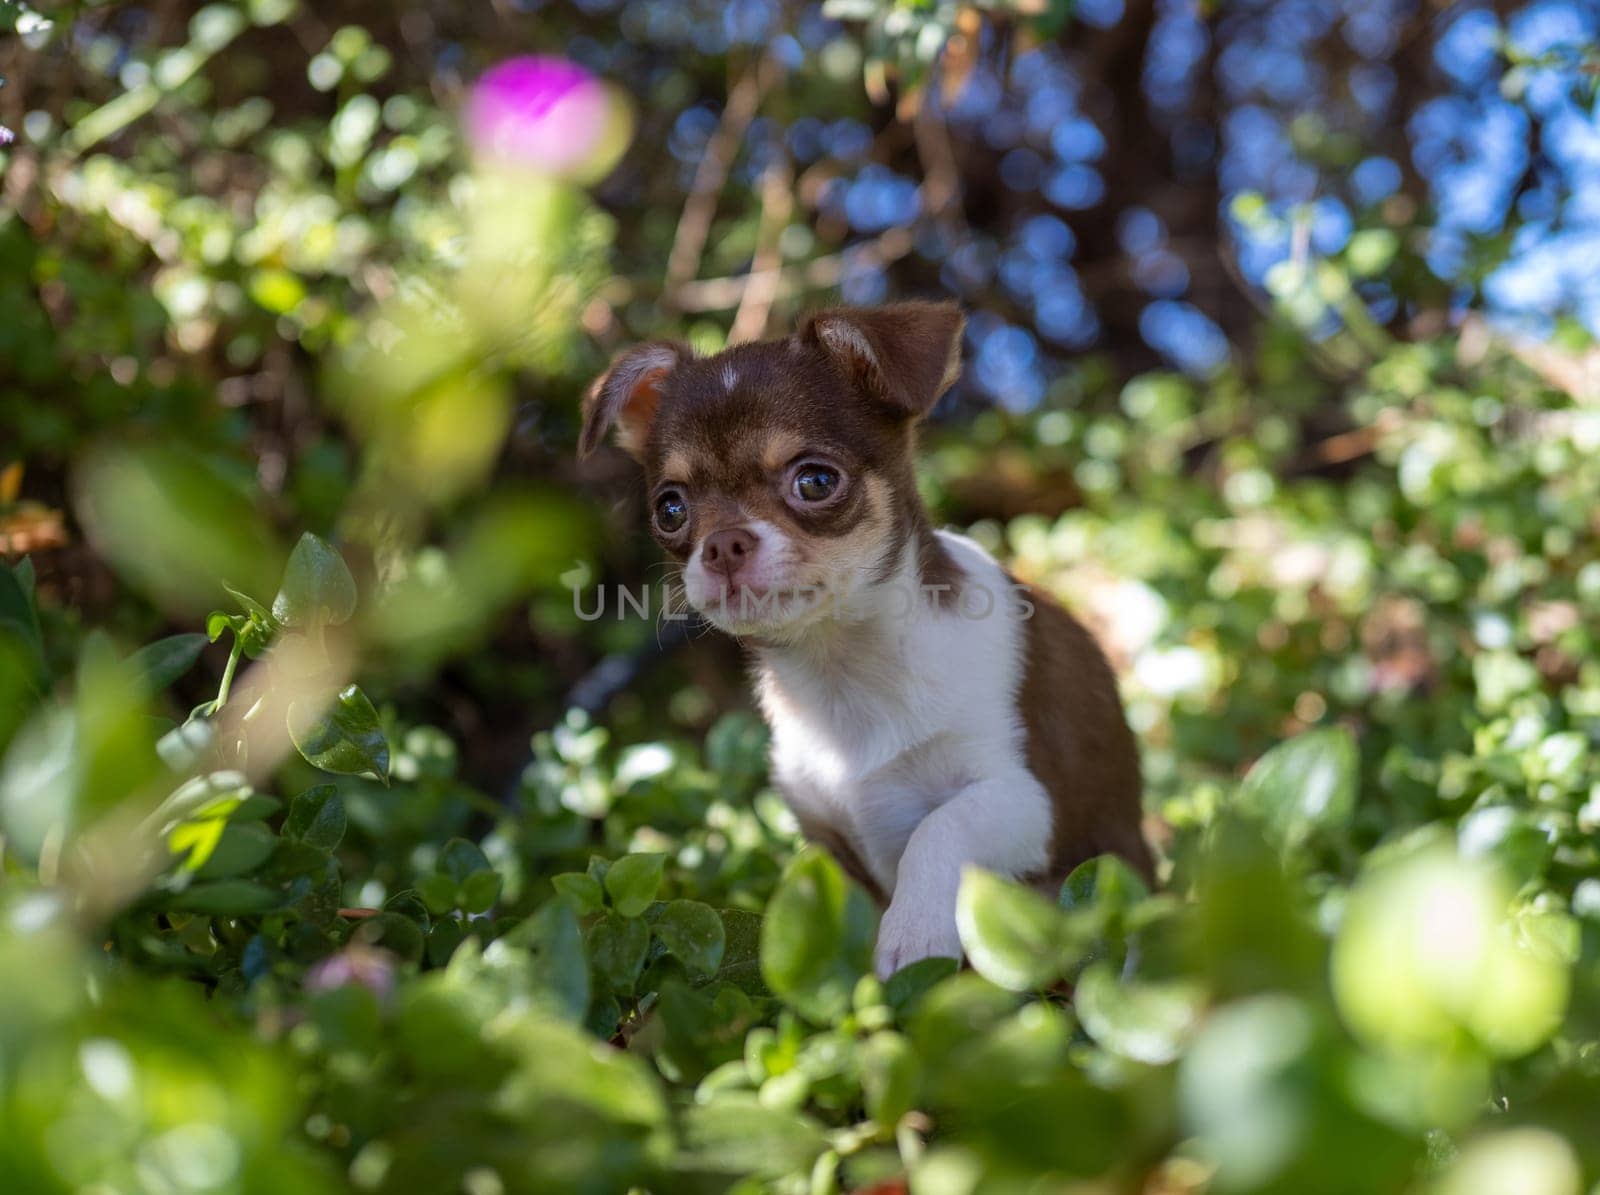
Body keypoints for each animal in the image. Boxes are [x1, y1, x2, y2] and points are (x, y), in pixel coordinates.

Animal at [582, 303, 1145, 979]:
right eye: (670, 510)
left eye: (816, 482)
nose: (722, 545)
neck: (843, 669)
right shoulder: (826, 838)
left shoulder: (1028, 799)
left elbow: (940, 826)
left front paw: (913, 934)